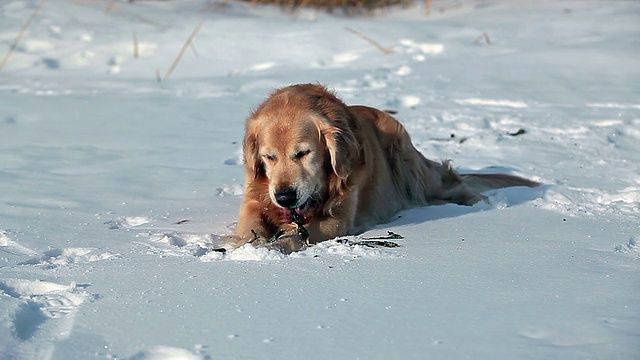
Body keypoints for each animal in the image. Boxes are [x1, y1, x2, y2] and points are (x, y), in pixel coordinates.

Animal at [232, 84, 536, 253]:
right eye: (268, 157)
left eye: (303, 153)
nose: (284, 196)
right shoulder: (254, 200)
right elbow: (250, 227)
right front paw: (247, 245)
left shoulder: (338, 220)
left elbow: (299, 234)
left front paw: (279, 243)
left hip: (410, 166)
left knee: (454, 182)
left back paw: (482, 204)